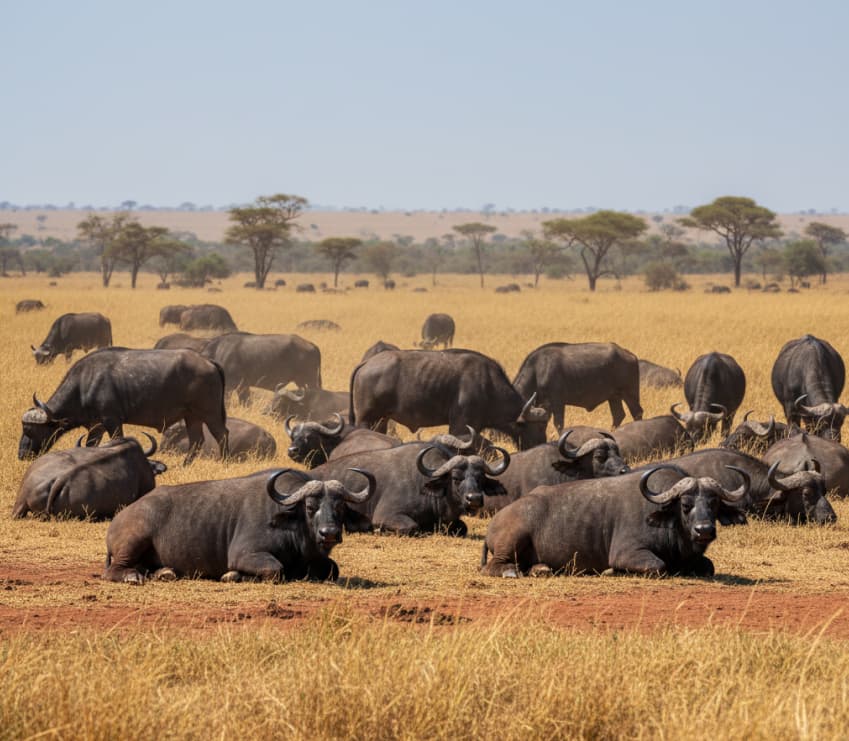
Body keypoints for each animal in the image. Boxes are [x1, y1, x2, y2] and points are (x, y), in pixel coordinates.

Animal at [19, 348, 229, 465]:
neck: (84, 383)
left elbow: (117, 441)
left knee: (221, 434)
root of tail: (208, 362)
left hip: (209, 413)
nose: (22, 454)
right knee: (197, 440)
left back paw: (224, 462)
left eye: (30, 430)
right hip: (191, 416)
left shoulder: (112, 421)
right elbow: (90, 446)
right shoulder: (96, 426)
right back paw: (186, 464)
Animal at [103, 468, 376, 584]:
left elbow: (333, 568)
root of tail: (121, 516)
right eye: (310, 507)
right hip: (133, 542)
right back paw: (132, 576)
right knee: (115, 570)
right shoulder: (244, 555)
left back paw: (164, 572)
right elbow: (275, 569)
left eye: (340, 508)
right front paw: (232, 575)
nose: (329, 533)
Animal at [349, 349, 548, 450]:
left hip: (381, 420)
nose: (542, 444)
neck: (488, 385)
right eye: (537, 427)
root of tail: (367, 363)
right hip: (366, 419)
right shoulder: (460, 426)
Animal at [481, 464, 749, 578]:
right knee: (495, 566)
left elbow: (708, 566)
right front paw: (612, 570)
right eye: (685, 505)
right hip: (512, 540)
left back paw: (541, 568)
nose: (704, 530)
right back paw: (511, 572)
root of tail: (496, 521)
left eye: (713, 504)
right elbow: (658, 565)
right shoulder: (628, 553)